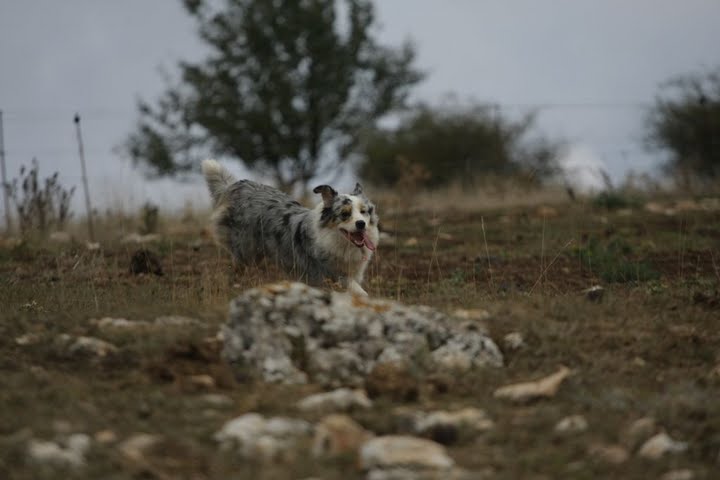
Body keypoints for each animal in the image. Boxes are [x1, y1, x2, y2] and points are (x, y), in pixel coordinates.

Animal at [200, 159, 380, 294]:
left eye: (364, 212)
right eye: (344, 213)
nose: (361, 224)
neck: (337, 241)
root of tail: (238, 186)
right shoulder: (328, 274)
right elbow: (359, 292)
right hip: (245, 251)